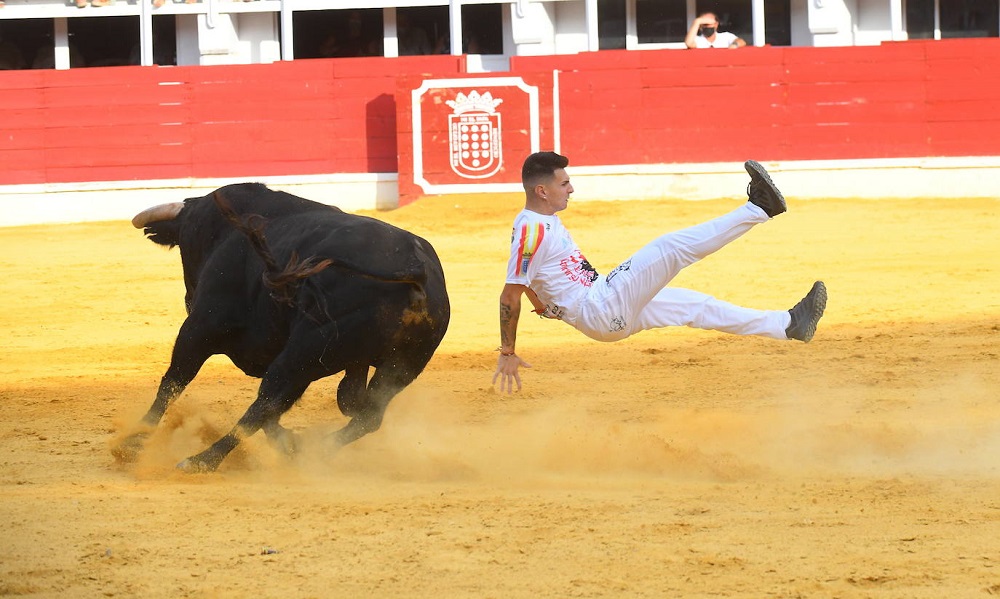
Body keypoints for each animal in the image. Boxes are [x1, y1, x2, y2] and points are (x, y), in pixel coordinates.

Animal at [111, 184, 452, 474]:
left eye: (186, 245)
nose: (188, 300)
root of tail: (416, 269)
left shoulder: (200, 328)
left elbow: (173, 382)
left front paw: (133, 443)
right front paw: (290, 443)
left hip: (304, 352)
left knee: (266, 402)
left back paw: (201, 460)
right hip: (398, 365)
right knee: (364, 412)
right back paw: (316, 448)